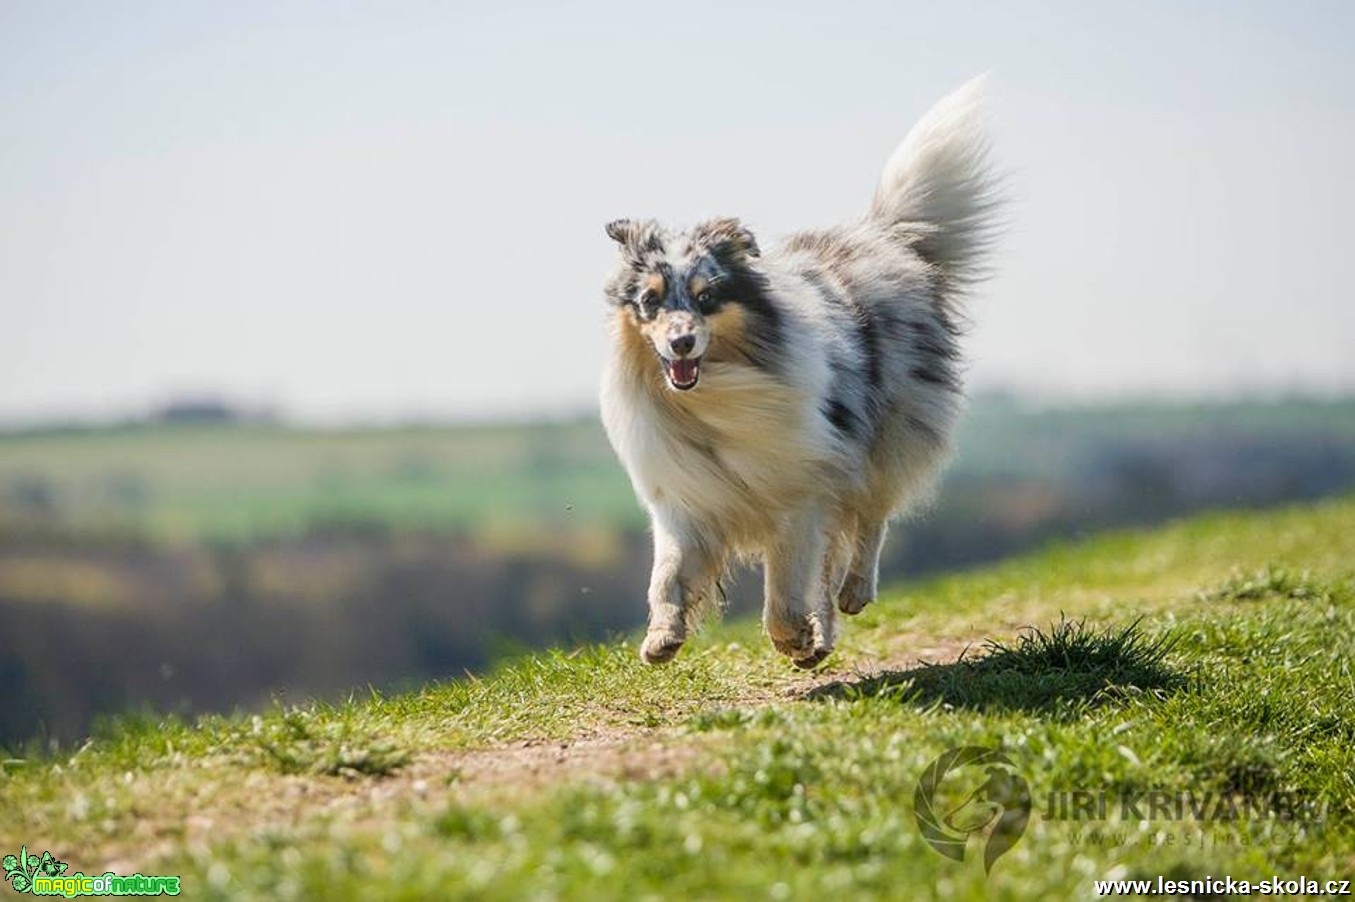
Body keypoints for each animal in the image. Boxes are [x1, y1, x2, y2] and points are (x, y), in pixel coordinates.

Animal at [598, 77, 1002, 663]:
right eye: (650, 300)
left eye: (707, 297)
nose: (680, 343)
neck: (716, 396)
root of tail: (886, 235)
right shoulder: (687, 498)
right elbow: (667, 577)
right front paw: (661, 637)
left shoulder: (800, 490)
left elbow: (786, 586)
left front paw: (792, 636)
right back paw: (824, 636)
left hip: (887, 435)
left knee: (871, 519)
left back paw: (853, 594)